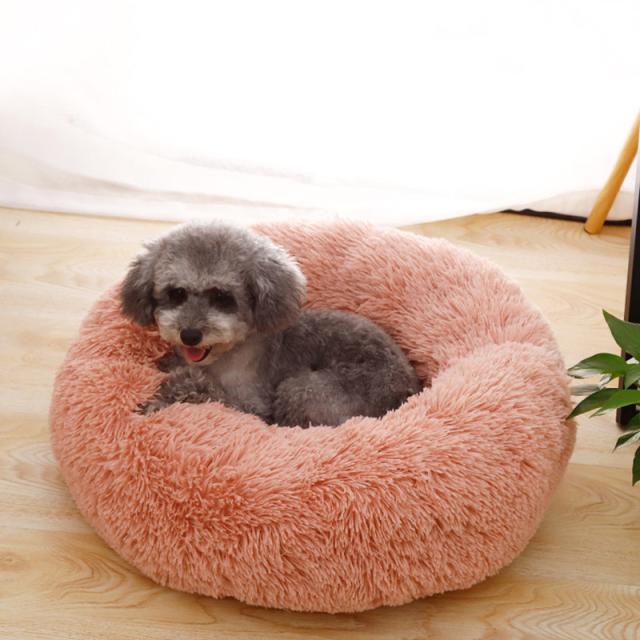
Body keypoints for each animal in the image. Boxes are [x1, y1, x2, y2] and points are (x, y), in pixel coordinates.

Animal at [121, 222, 421, 426]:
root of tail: (408, 390)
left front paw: (169, 391)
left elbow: (209, 390)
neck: (224, 356)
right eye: (177, 293)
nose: (190, 334)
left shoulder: (250, 404)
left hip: (302, 390)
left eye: (222, 297)